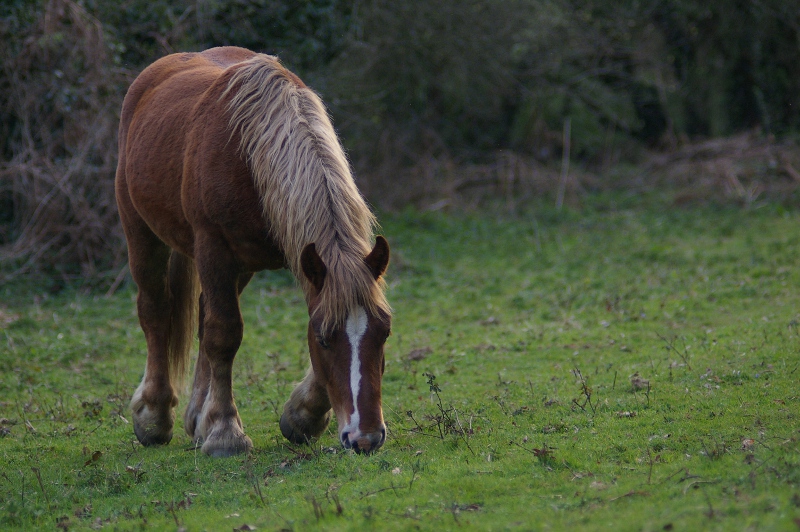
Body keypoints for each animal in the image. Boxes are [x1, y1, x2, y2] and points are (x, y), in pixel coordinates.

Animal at [117, 46, 392, 458]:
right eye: (325, 339)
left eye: (384, 333)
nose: (366, 438)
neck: (251, 153)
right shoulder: (213, 249)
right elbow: (224, 334)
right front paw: (225, 432)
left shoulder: (303, 258)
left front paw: (302, 414)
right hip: (141, 231)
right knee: (156, 311)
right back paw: (154, 416)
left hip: (240, 266)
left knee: (202, 317)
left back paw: (197, 418)